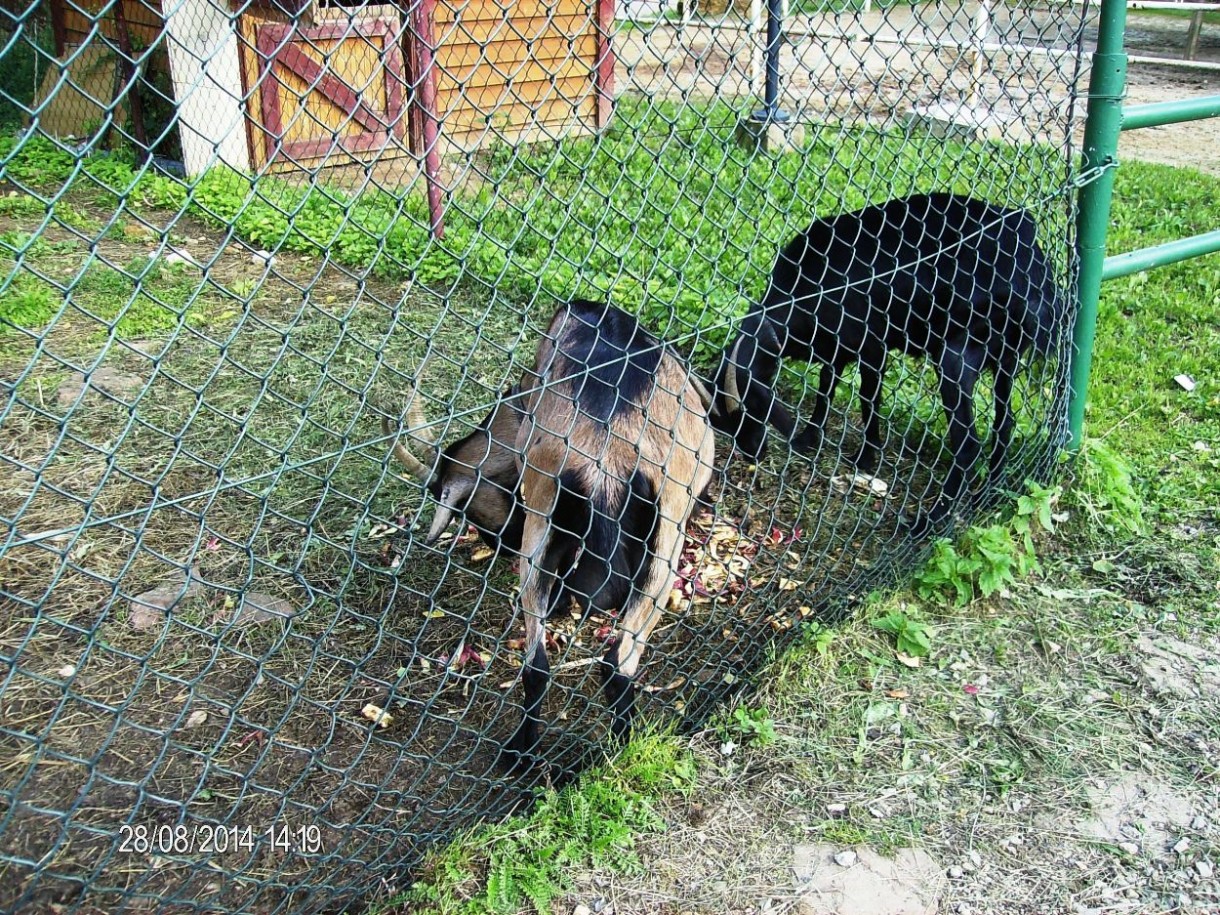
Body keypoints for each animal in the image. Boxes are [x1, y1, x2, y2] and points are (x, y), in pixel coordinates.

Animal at [712, 195, 1063, 529]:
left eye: (749, 410)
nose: (753, 453)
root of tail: (1036, 266)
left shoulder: (872, 344)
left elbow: (868, 399)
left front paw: (866, 458)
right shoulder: (837, 344)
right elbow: (826, 387)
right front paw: (810, 438)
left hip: (958, 354)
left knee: (967, 444)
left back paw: (928, 522)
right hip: (1006, 354)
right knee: (1005, 424)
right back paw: (988, 496)